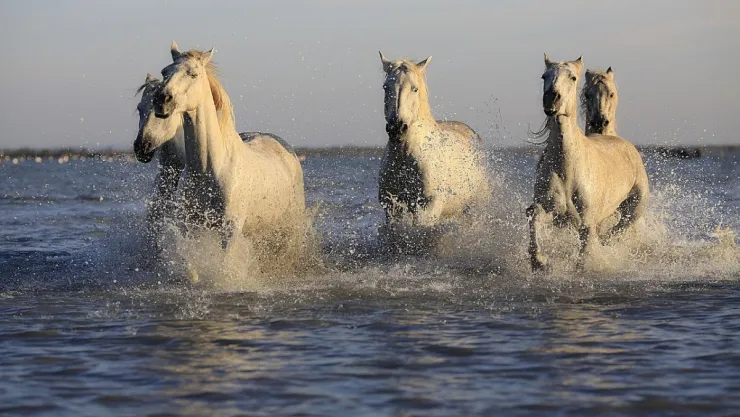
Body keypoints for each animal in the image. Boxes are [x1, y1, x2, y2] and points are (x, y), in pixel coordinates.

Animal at [136, 41, 306, 255]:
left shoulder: (229, 232)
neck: (209, 168)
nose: (162, 99)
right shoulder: (189, 228)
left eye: (193, 74)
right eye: (165, 71)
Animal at [377, 52, 489, 240]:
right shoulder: (392, 207)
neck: (406, 157)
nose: (396, 128)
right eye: (386, 87)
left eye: (414, 88)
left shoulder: (427, 207)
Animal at [527, 55, 649, 272]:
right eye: (544, 76)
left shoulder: (586, 223)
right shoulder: (551, 211)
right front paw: (540, 261)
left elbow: (585, 255)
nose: (551, 99)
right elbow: (534, 217)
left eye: (573, 77)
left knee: (618, 230)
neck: (568, 168)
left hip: (634, 209)